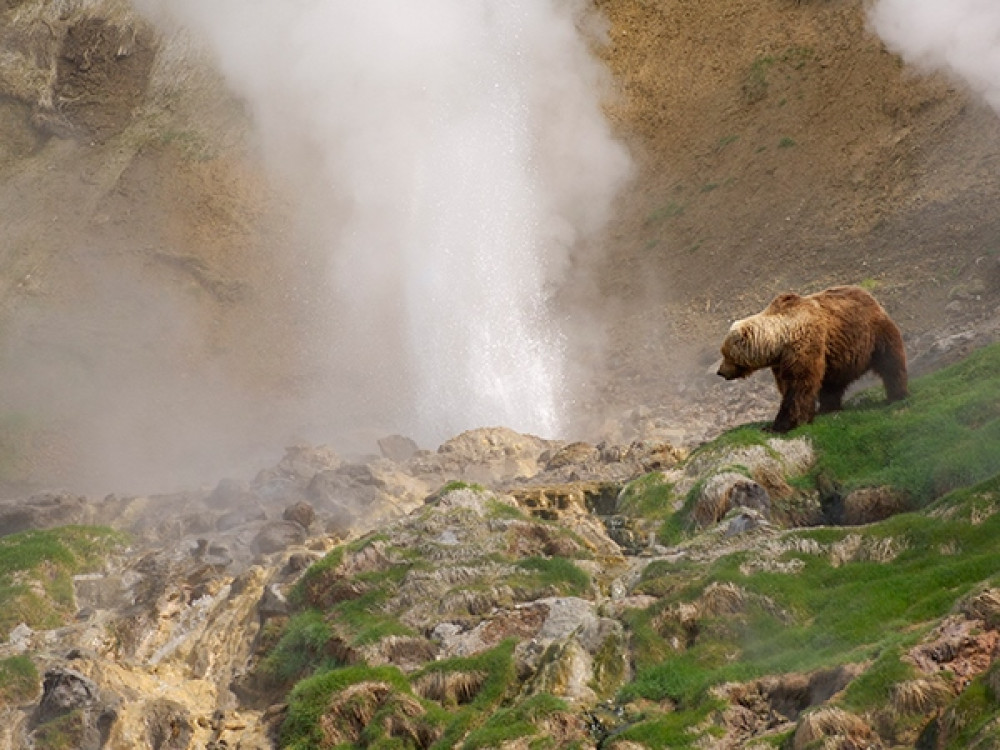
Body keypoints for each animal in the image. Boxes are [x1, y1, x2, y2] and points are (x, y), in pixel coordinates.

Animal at [720, 284, 908, 432]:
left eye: (725, 354)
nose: (720, 372)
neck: (780, 341)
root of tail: (869, 295)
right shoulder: (782, 362)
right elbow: (789, 385)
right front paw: (805, 416)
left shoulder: (804, 347)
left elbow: (799, 386)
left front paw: (780, 425)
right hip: (839, 355)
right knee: (832, 384)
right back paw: (827, 407)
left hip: (874, 336)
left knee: (891, 364)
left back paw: (897, 395)